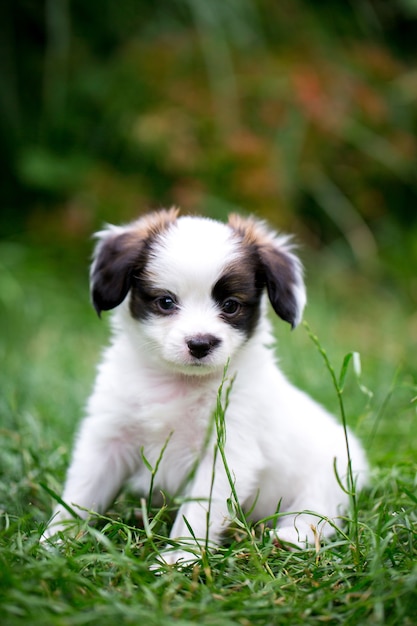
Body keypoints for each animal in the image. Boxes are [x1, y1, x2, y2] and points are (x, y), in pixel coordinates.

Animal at [43, 208, 368, 560]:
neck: (179, 383)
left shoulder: (226, 453)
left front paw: (179, 558)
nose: (200, 343)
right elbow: (80, 495)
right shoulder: (107, 440)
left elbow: (198, 513)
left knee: (317, 514)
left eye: (231, 305)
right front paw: (53, 542)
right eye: (166, 302)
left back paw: (293, 537)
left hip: (330, 479)